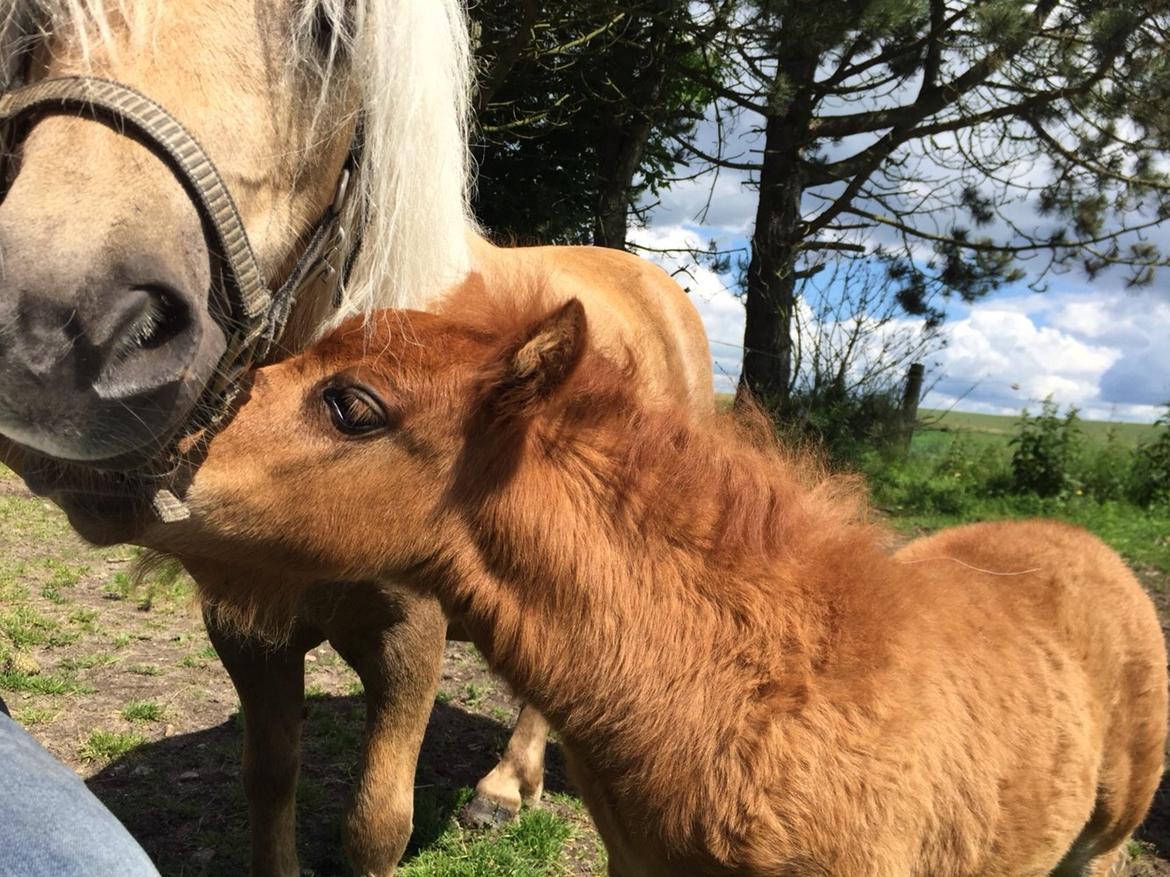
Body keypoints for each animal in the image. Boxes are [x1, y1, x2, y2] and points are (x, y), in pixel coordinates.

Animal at [0, 3, 711, 874]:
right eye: (38, 21)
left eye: (326, 32)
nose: (51, 333)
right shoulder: (247, 628)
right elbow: (271, 777)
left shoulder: (412, 638)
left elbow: (376, 824)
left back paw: (507, 785)